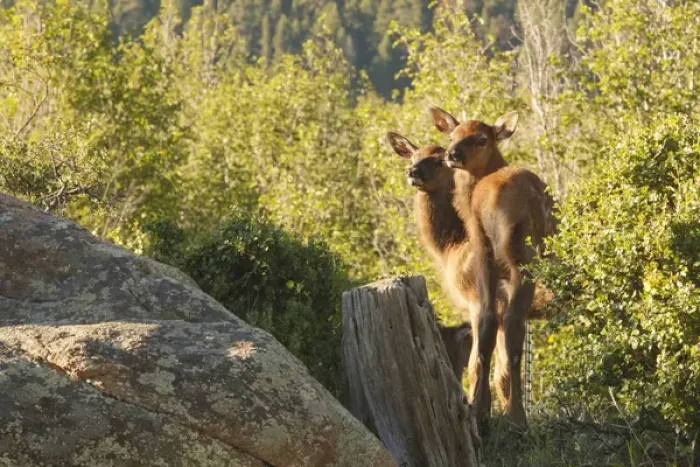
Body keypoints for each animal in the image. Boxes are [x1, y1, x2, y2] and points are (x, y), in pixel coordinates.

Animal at [430, 106, 557, 430]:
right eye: (452, 135)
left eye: (482, 139)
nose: (451, 154)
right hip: (521, 254)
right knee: (509, 324)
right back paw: (511, 415)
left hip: (498, 252)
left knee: (495, 323)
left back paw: (492, 412)